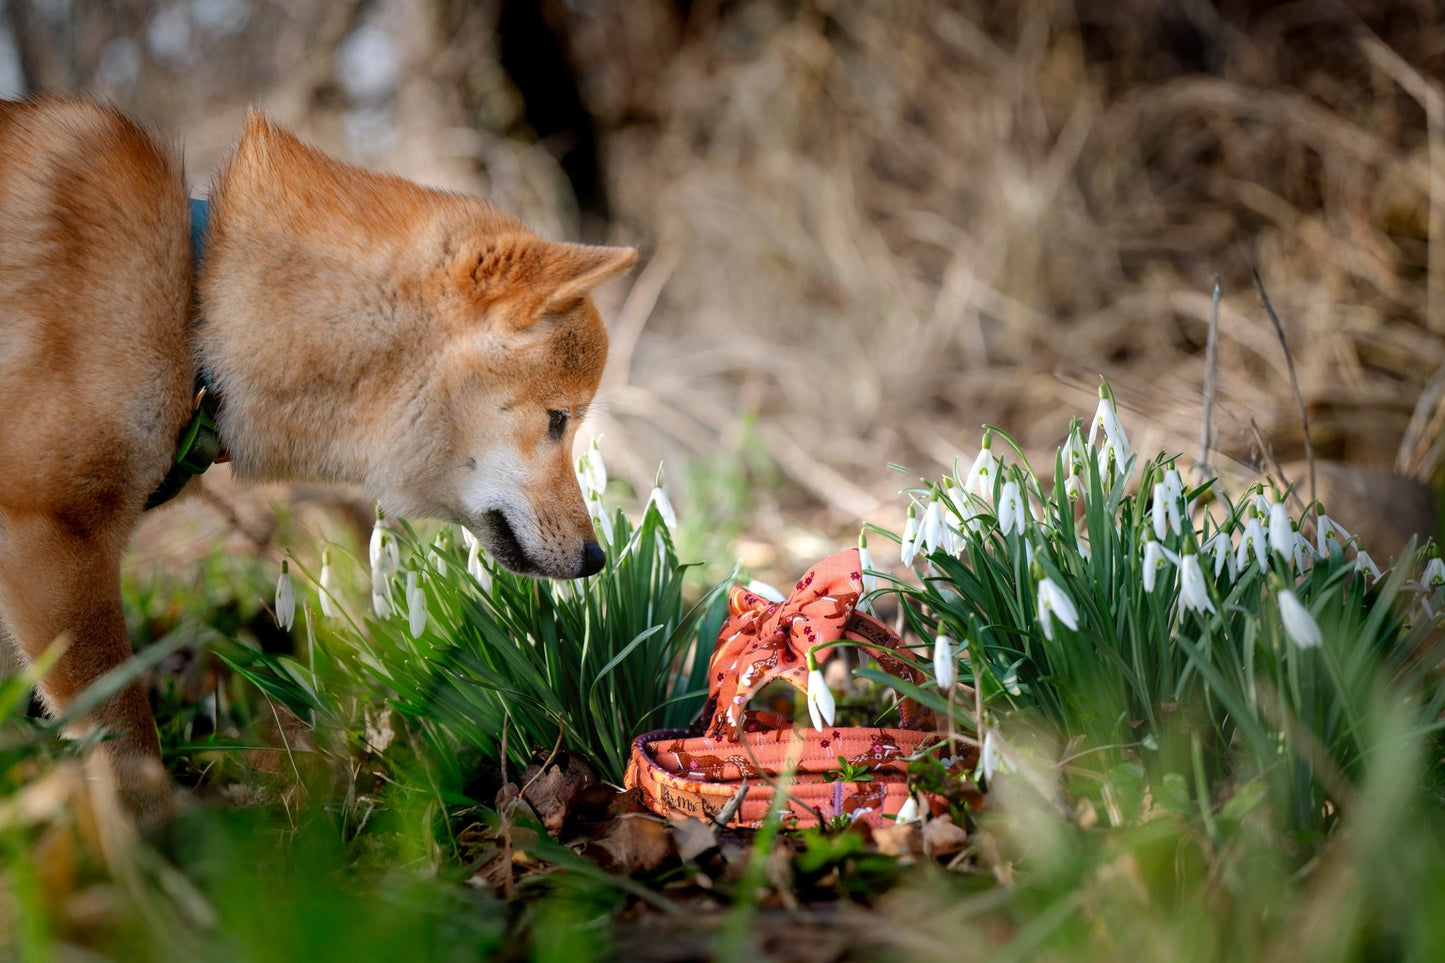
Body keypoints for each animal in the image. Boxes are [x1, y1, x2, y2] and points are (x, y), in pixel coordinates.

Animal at [0, 96, 636, 823]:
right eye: (558, 419)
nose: (595, 558)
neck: (197, 304)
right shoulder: (53, 540)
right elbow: (126, 740)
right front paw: (165, 839)